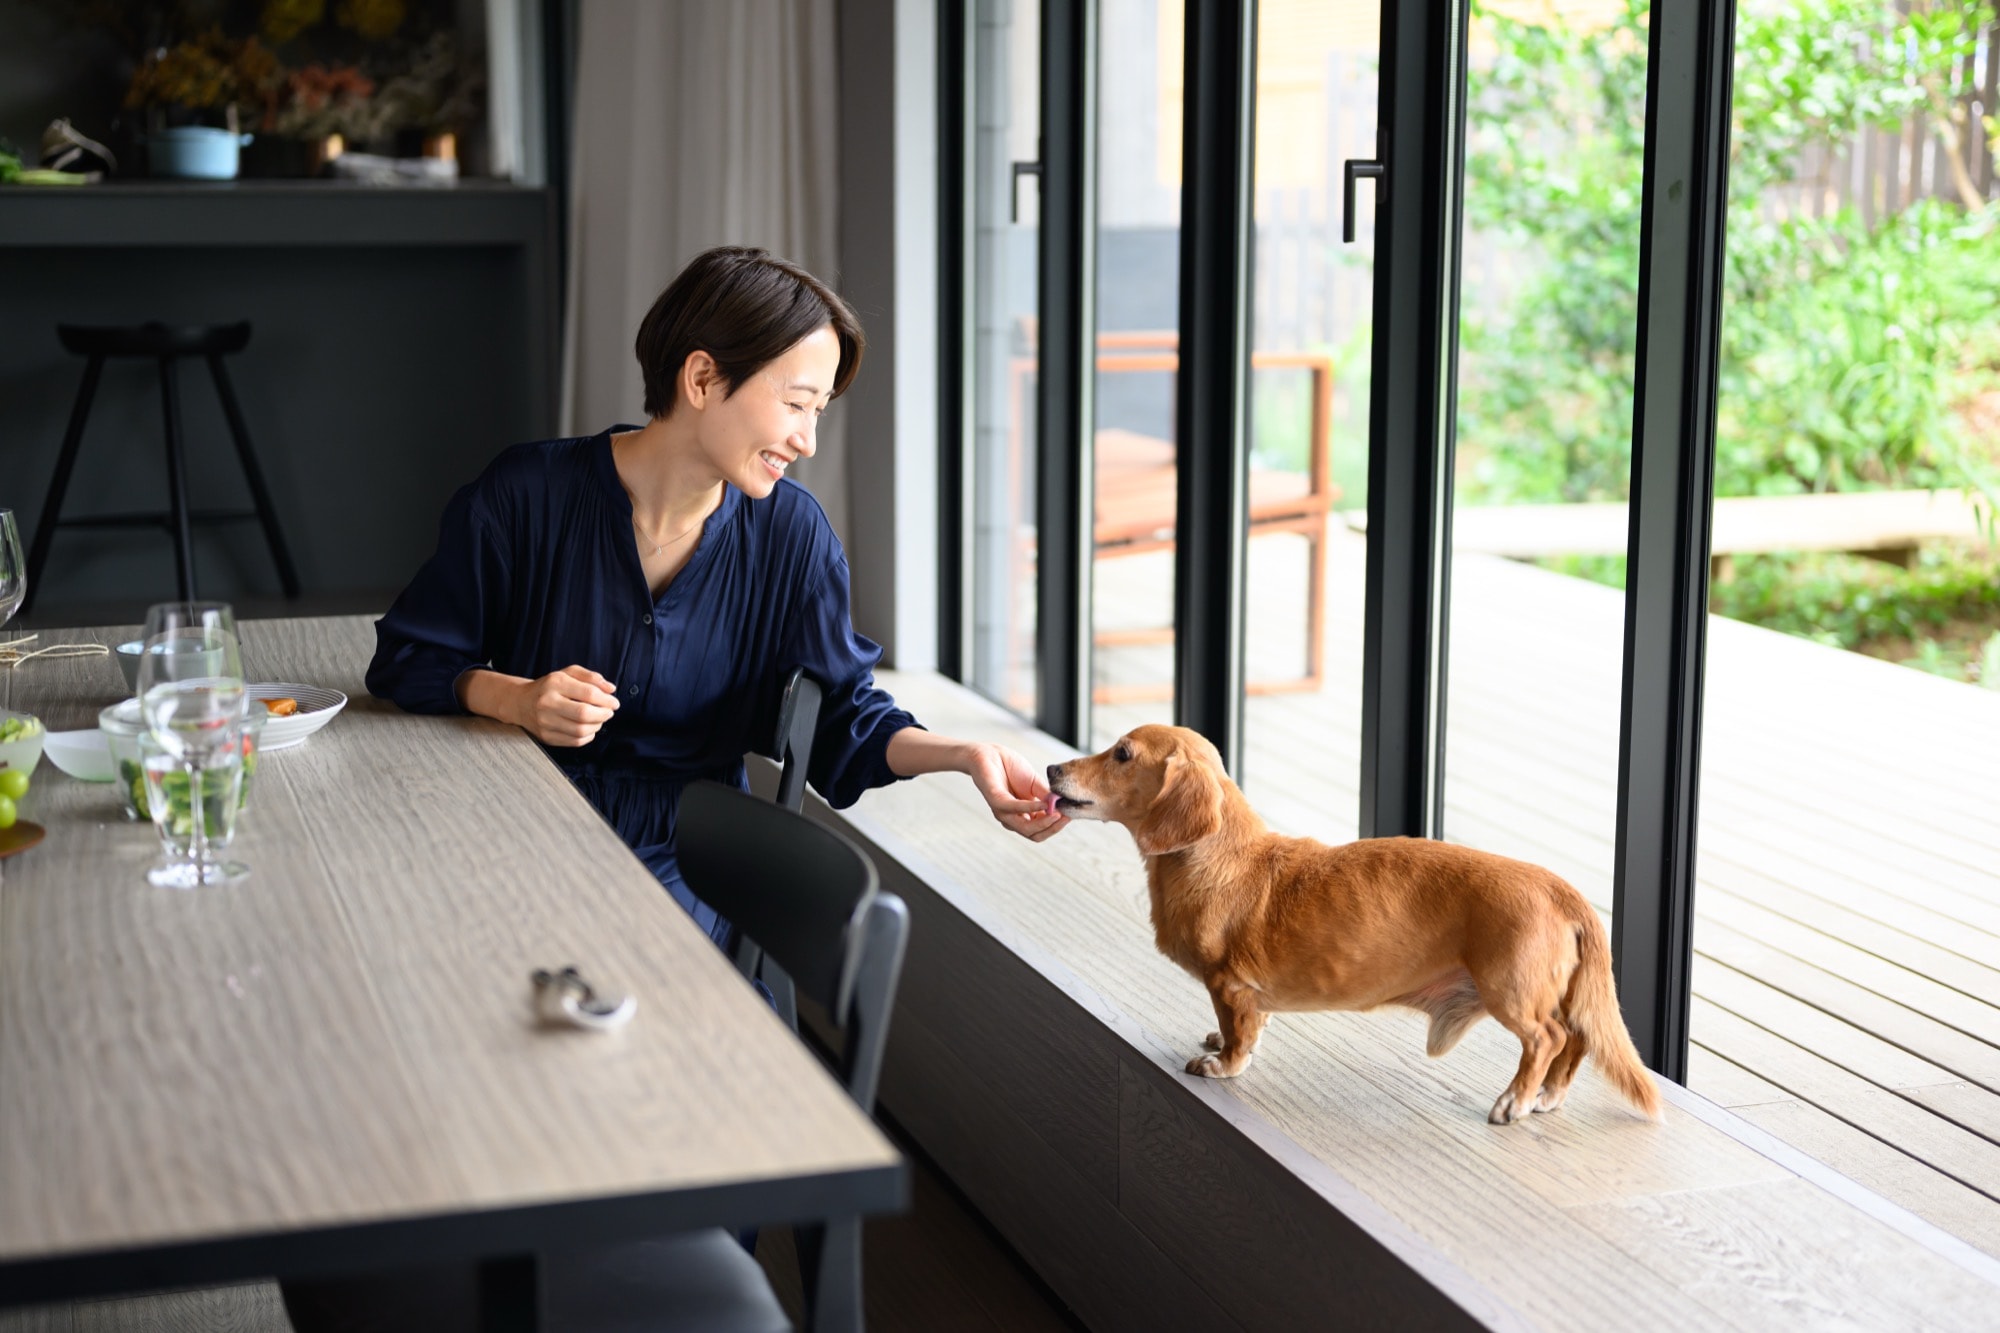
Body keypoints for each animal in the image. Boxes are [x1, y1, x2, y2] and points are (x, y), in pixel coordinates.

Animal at [1056, 720, 1664, 1112]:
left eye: (1122, 754)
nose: (1053, 768)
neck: (1219, 857)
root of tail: (1560, 888)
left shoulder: (1229, 984)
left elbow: (1238, 1035)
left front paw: (1223, 1063)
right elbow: (1251, 1024)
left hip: (1510, 990)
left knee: (1549, 1038)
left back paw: (1515, 1100)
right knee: (1578, 1039)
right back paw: (1548, 1097)